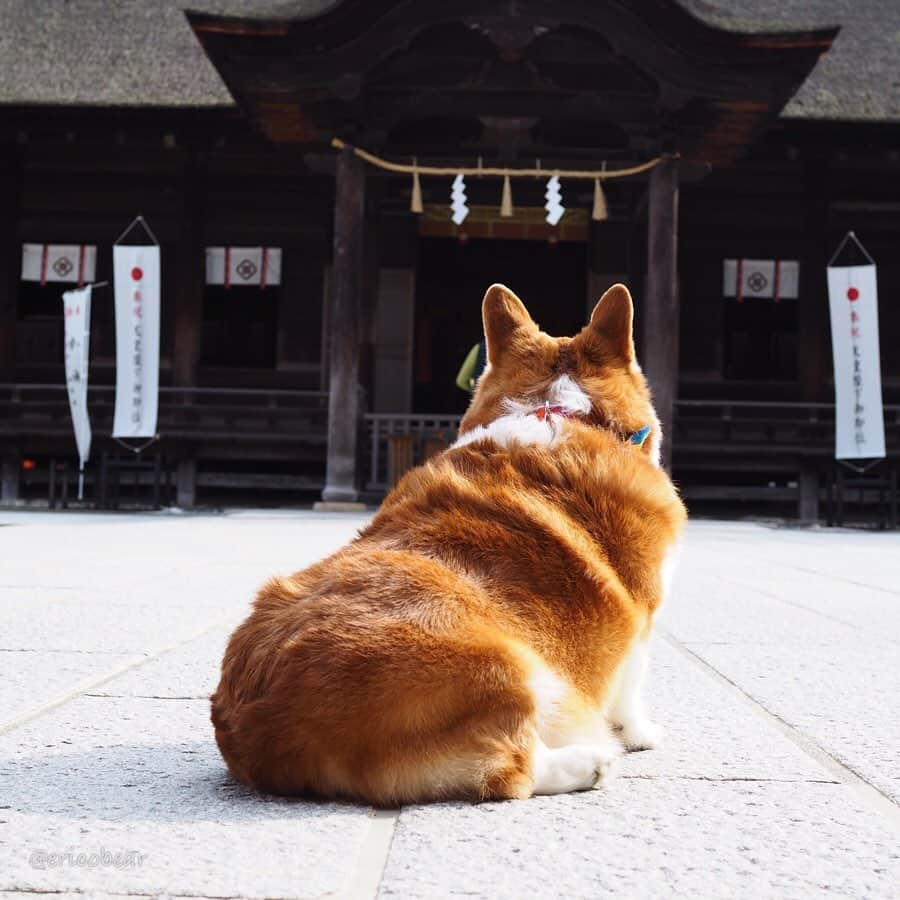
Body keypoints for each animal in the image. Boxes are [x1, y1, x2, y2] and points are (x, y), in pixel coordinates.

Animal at [211, 282, 684, 800]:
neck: (561, 410)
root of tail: (266, 730)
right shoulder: (641, 621)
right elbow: (629, 692)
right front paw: (642, 735)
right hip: (505, 666)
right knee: (512, 770)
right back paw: (588, 764)